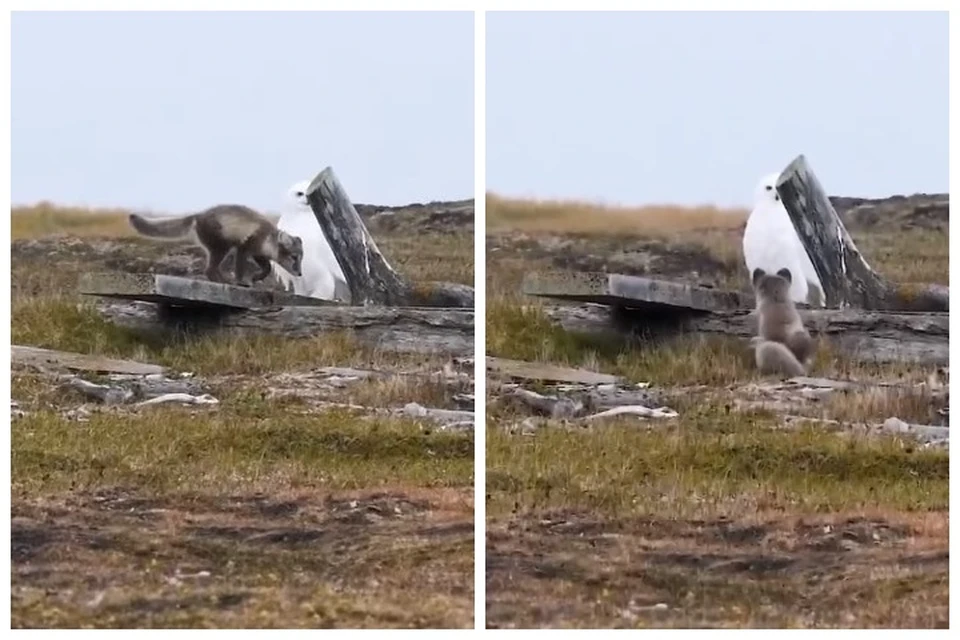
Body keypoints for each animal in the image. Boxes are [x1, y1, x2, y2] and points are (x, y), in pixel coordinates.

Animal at [127, 204, 300, 286]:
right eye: (294, 257)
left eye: (301, 258)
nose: (299, 274)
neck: (268, 238)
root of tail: (197, 216)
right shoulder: (244, 247)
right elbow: (240, 267)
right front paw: (242, 281)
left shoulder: (258, 253)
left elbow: (267, 268)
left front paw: (256, 277)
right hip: (221, 247)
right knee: (209, 270)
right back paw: (225, 281)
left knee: (212, 270)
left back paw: (223, 280)